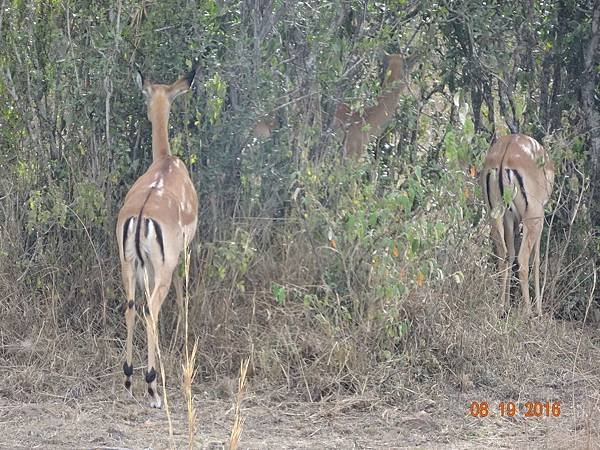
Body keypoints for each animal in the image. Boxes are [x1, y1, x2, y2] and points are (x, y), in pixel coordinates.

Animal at [480, 134, 556, 316]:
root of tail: (505, 153)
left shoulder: (509, 219)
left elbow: (511, 254)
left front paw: (507, 304)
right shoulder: (539, 219)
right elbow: (536, 259)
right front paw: (539, 310)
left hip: (496, 216)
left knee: (504, 256)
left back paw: (501, 307)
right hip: (532, 218)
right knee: (523, 260)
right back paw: (528, 312)